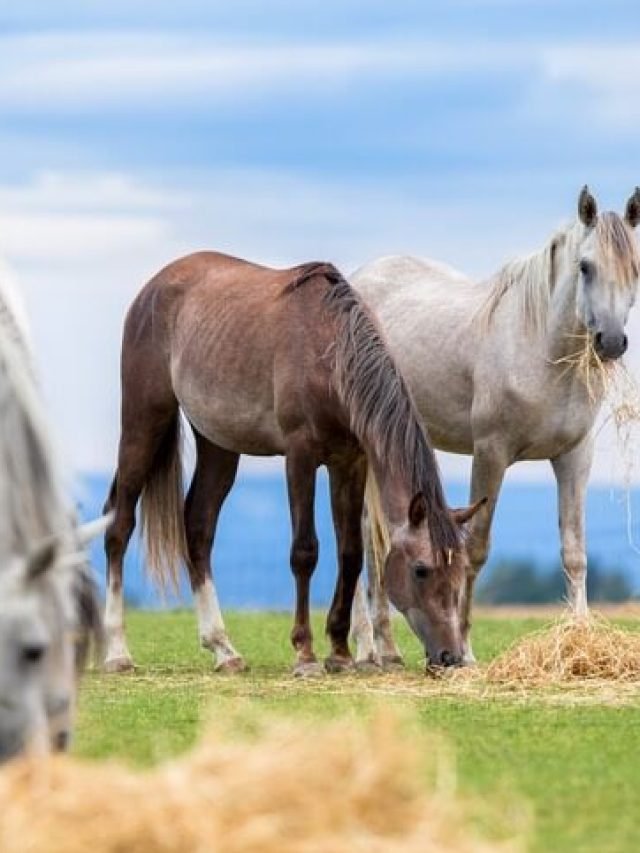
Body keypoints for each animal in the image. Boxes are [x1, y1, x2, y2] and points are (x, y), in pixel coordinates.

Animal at [101, 250, 480, 676]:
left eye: (460, 570)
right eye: (421, 570)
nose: (450, 657)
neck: (330, 352)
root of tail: (155, 285)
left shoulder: (350, 462)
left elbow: (350, 553)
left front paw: (340, 653)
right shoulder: (300, 457)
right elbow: (305, 551)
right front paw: (306, 654)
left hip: (218, 444)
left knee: (198, 528)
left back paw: (223, 649)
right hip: (145, 419)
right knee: (119, 523)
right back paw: (117, 652)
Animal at [350, 185, 640, 664]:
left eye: (635, 268)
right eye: (585, 266)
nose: (612, 341)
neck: (537, 346)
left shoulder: (574, 456)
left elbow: (575, 550)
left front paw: (580, 638)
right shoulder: (491, 453)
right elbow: (475, 549)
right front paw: (465, 650)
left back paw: (373, 647)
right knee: (365, 539)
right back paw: (371, 649)